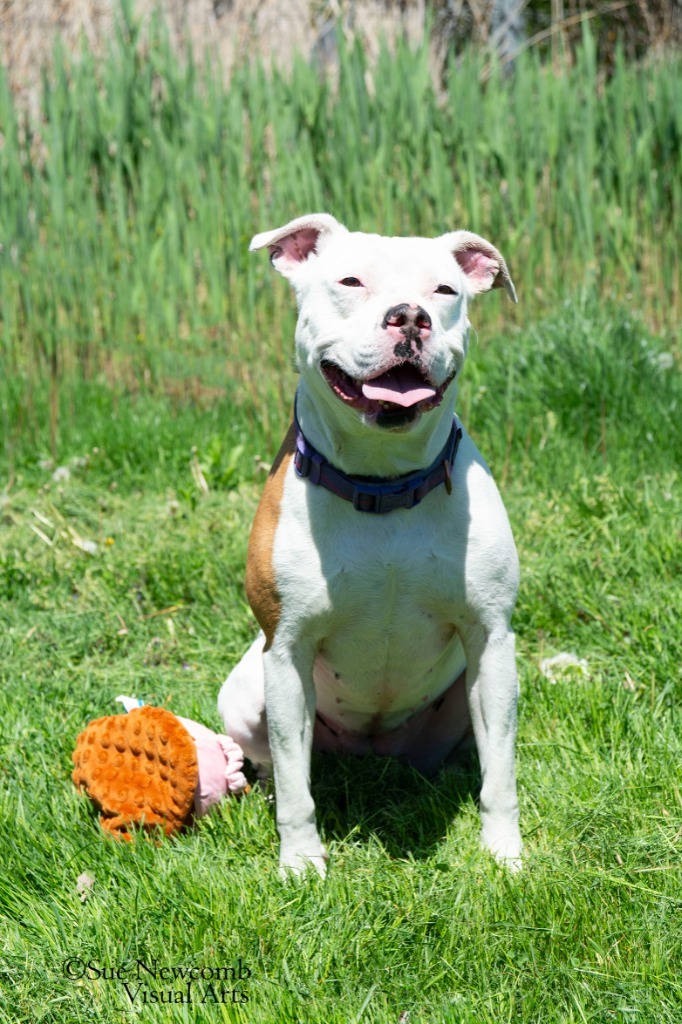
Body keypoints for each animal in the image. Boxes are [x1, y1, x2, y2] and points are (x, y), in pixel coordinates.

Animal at [218, 211, 520, 876]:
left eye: (444, 290)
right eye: (351, 281)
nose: (409, 316)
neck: (384, 485)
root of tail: (371, 750)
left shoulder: (491, 638)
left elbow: (503, 773)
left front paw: (505, 853)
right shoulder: (287, 651)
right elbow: (297, 788)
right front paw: (301, 862)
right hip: (247, 692)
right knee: (280, 765)